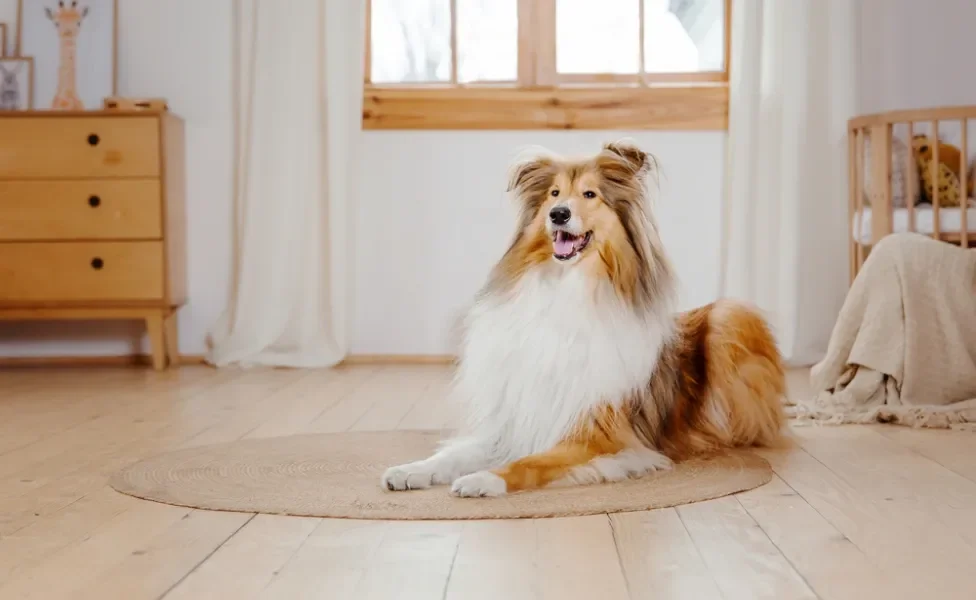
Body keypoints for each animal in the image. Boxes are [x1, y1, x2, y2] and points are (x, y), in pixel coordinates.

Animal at [382, 141, 784, 496]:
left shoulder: (599, 436)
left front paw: (483, 479)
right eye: (554, 193)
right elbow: (452, 454)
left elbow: (530, 463)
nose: (558, 213)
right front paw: (411, 470)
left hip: (731, 316)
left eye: (590, 194)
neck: (567, 288)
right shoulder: (510, 423)